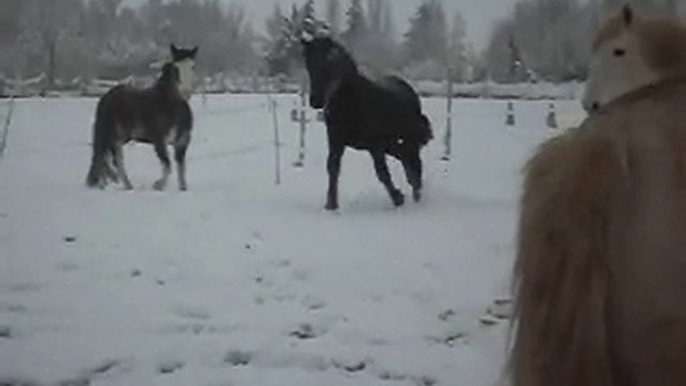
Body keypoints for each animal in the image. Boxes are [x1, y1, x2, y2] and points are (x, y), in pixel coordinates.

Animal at [86, 44, 199, 191]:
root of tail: (106, 96)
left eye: (192, 66)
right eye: (176, 67)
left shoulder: (182, 142)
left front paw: (182, 188)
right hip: (111, 135)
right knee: (110, 159)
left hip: (122, 138)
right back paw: (118, 184)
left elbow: (181, 167)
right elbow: (167, 165)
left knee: (110, 159)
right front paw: (158, 185)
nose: (186, 92)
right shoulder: (159, 141)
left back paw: (114, 184)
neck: (170, 105)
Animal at [302, 36, 432, 211]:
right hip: (390, 144)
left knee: (413, 160)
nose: (315, 101)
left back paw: (417, 194)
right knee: (405, 157)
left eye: (329, 64)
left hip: (405, 139)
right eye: (309, 66)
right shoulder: (336, 140)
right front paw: (331, 204)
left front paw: (398, 199)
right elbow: (333, 167)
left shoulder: (375, 145)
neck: (353, 102)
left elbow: (382, 173)